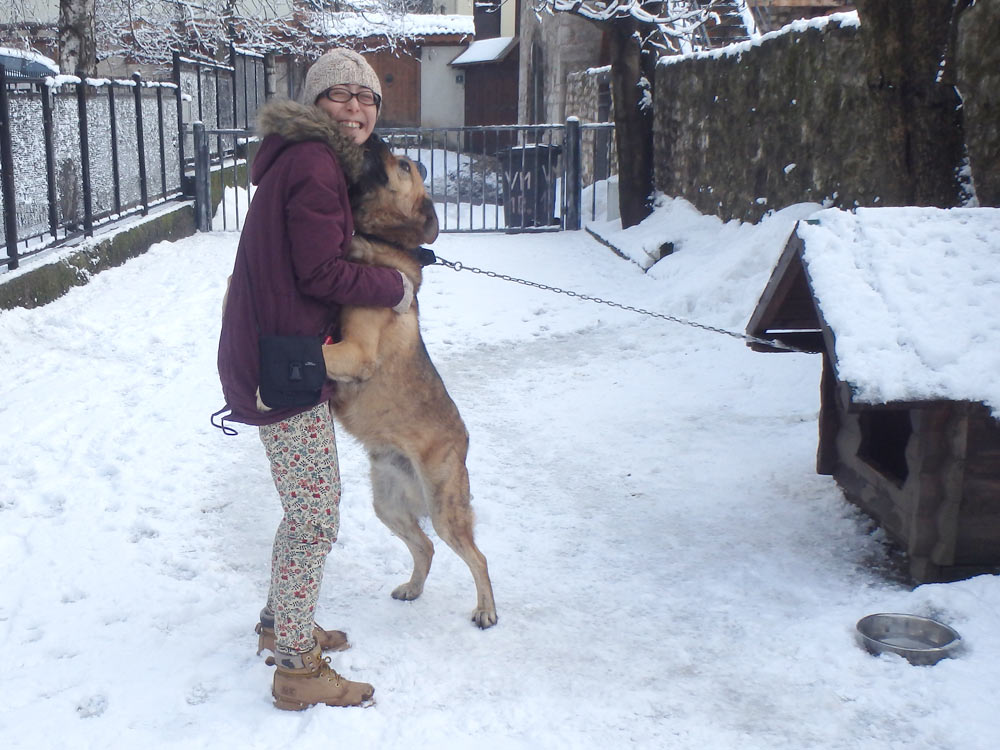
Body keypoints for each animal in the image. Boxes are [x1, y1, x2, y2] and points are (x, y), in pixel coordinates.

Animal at [324, 138, 500, 632]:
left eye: (402, 165)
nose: (376, 138)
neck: (382, 243)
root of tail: (463, 441)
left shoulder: (356, 351)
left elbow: (321, 354)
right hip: (388, 503)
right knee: (426, 546)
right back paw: (413, 588)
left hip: (443, 506)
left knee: (477, 557)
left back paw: (486, 609)